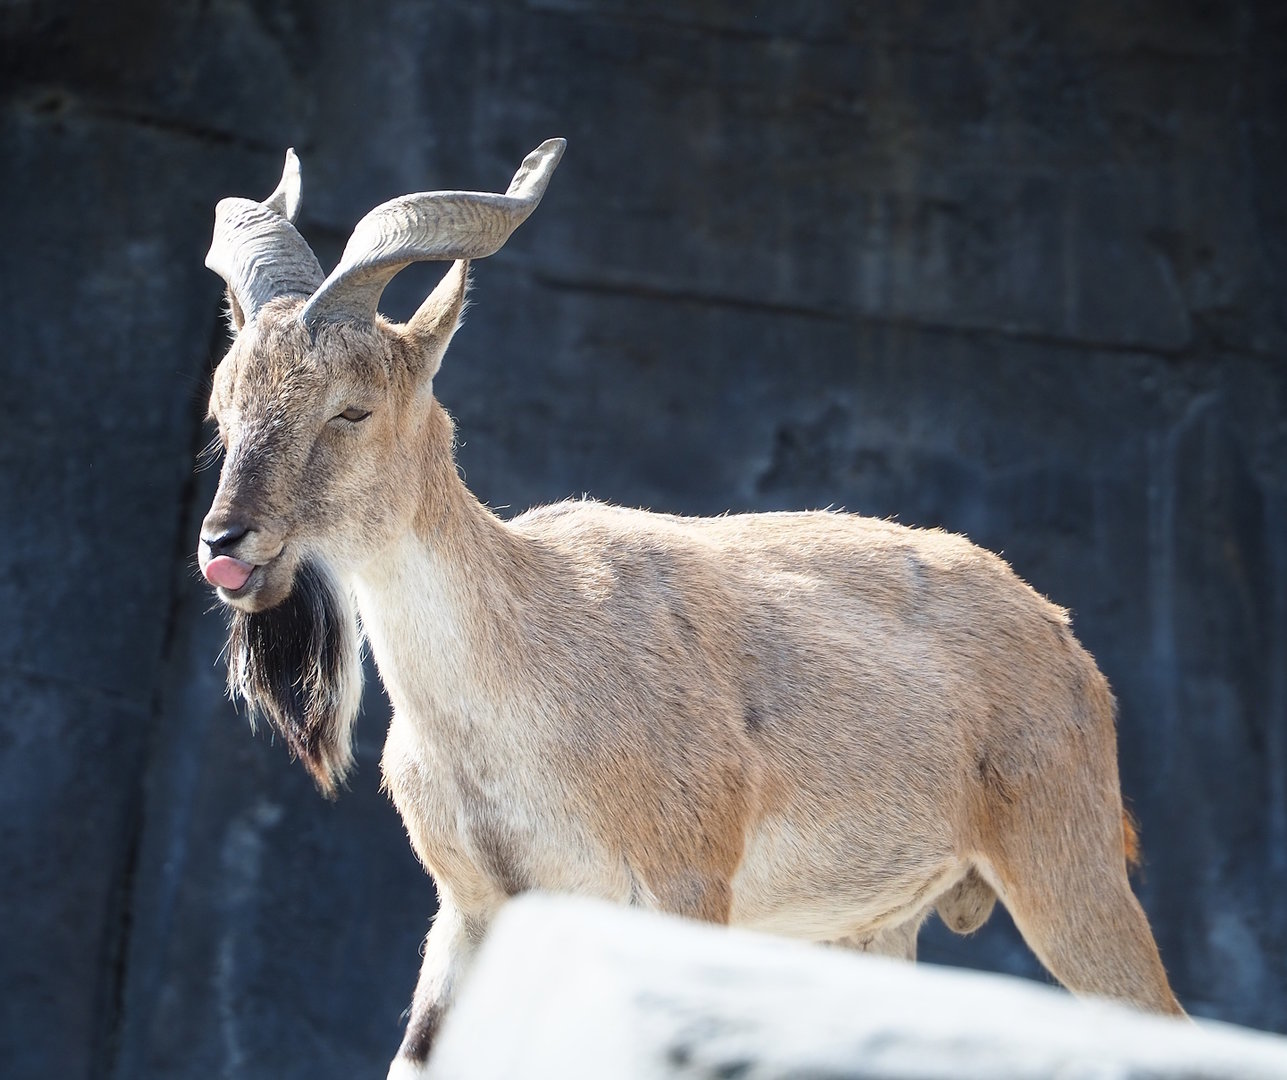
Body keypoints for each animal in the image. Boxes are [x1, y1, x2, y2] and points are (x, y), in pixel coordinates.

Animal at [198, 140, 1183, 1076]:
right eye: (225, 404)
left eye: (352, 410)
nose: (225, 541)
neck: (515, 680)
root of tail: (1065, 642)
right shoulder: (470, 911)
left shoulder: (683, 885)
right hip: (871, 928)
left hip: (1066, 864)